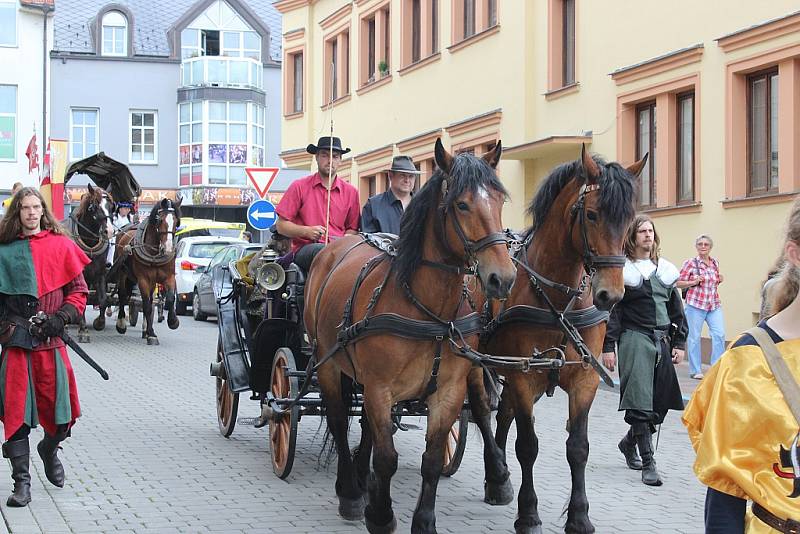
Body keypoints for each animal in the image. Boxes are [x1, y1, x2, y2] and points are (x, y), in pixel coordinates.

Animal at [111, 199, 181, 346]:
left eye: (177, 222)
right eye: (160, 220)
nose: (168, 249)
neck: (154, 253)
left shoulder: (169, 277)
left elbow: (169, 298)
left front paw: (173, 321)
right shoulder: (143, 279)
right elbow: (147, 306)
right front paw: (152, 334)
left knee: (148, 299)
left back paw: (144, 329)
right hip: (122, 273)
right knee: (122, 295)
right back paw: (121, 323)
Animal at [304, 140, 516, 532]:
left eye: (499, 200)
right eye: (462, 204)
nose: (503, 278)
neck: (429, 310)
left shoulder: (448, 390)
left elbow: (430, 459)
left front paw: (423, 520)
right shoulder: (379, 387)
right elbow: (387, 457)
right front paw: (380, 514)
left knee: (367, 425)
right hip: (329, 364)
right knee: (340, 421)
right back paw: (351, 492)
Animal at [466, 148, 648, 534]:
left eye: (629, 221)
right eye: (591, 214)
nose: (611, 295)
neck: (556, 297)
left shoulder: (584, 378)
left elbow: (577, 447)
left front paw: (579, 515)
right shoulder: (524, 375)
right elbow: (528, 446)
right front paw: (528, 514)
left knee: (503, 416)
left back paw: (498, 480)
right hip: (473, 364)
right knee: (483, 413)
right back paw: (497, 471)